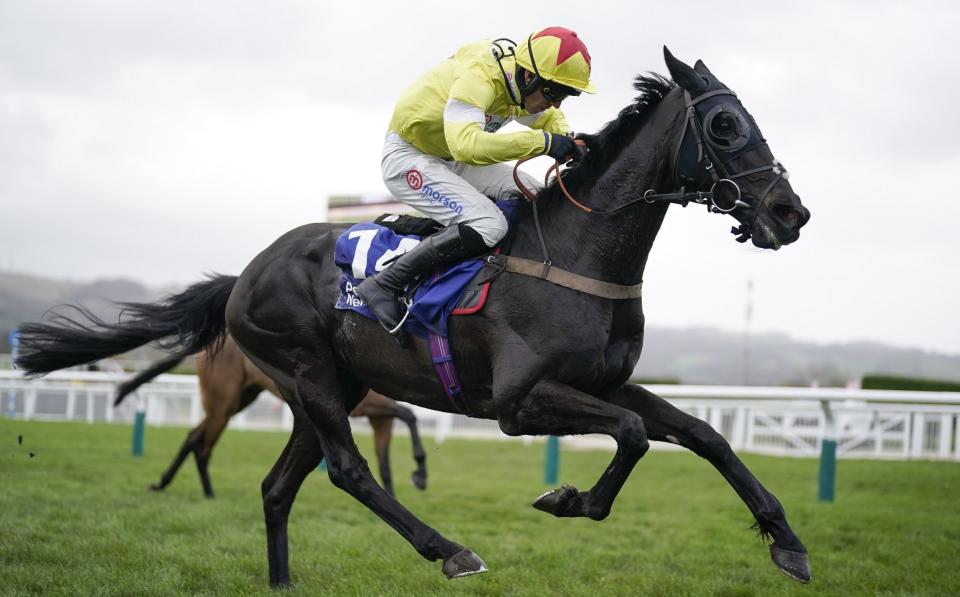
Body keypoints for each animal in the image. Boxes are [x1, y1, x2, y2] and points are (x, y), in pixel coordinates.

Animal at [114, 336, 426, 498]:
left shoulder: (379, 418)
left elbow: (386, 461)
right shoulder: (370, 406)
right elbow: (409, 415)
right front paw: (420, 474)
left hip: (237, 401)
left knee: (193, 436)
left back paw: (165, 484)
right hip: (224, 403)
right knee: (202, 443)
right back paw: (207, 492)